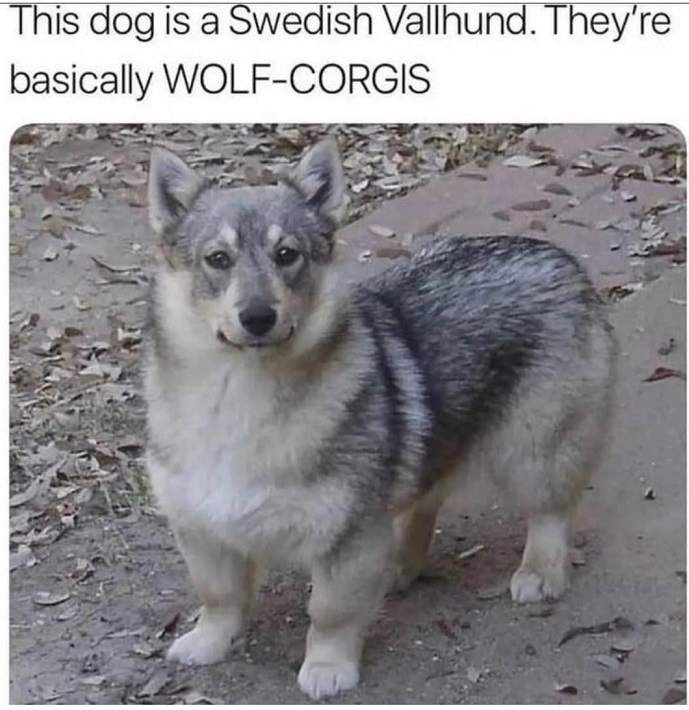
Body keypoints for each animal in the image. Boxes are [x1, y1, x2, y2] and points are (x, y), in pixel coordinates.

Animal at [144, 138, 616, 699]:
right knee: (424, 501)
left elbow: (330, 611)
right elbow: (218, 596)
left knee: (549, 512)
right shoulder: (201, 528)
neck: (238, 391)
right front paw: (210, 641)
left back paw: (540, 571)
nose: (257, 317)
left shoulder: (346, 534)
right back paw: (400, 564)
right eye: (218, 259)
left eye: (287, 255)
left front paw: (328, 666)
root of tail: (560, 258)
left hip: (533, 451)